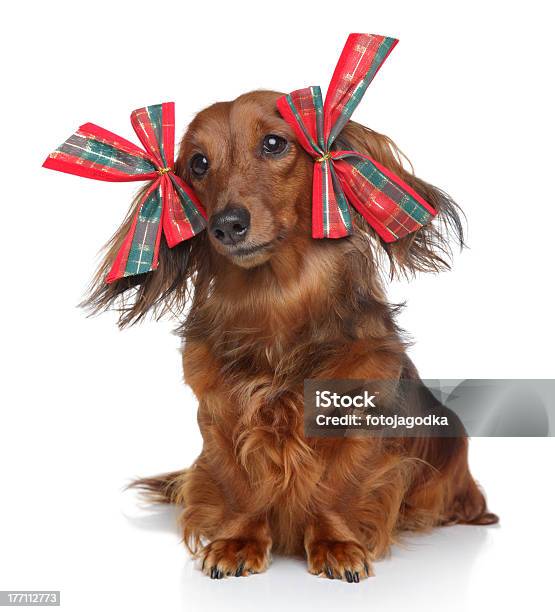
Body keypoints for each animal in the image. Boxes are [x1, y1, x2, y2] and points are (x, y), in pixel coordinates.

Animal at [88, 91, 500, 584]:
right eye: (198, 163)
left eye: (273, 143)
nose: (227, 225)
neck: (275, 304)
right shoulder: (220, 415)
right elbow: (241, 485)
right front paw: (237, 542)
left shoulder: (357, 415)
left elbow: (337, 488)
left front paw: (336, 545)